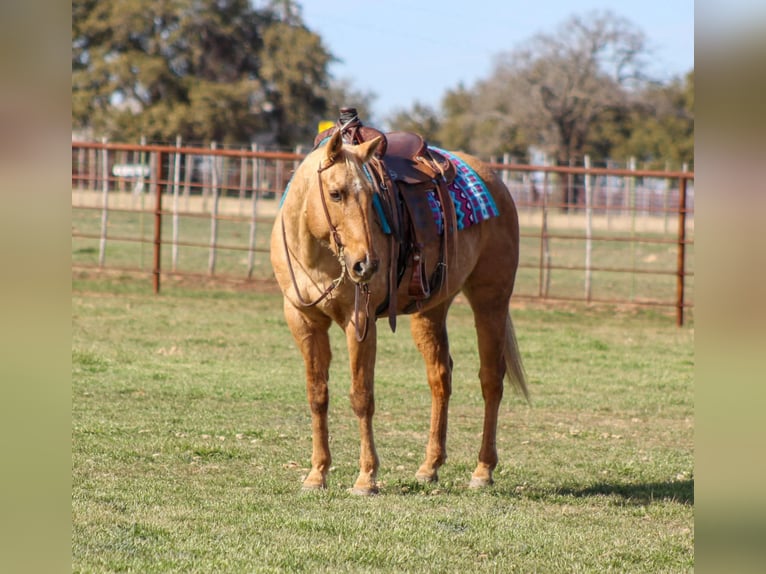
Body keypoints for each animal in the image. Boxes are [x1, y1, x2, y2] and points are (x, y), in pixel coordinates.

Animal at [270, 128, 528, 495]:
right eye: (335, 193)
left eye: (372, 197)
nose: (365, 264)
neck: (317, 254)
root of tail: (496, 182)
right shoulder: (303, 320)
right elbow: (317, 394)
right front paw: (317, 473)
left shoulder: (359, 321)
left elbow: (362, 396)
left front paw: (366, 478)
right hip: (431, 310)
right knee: (440, 377)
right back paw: (429, 467)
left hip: (491, 299)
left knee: (491, 378)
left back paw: (483, 470)